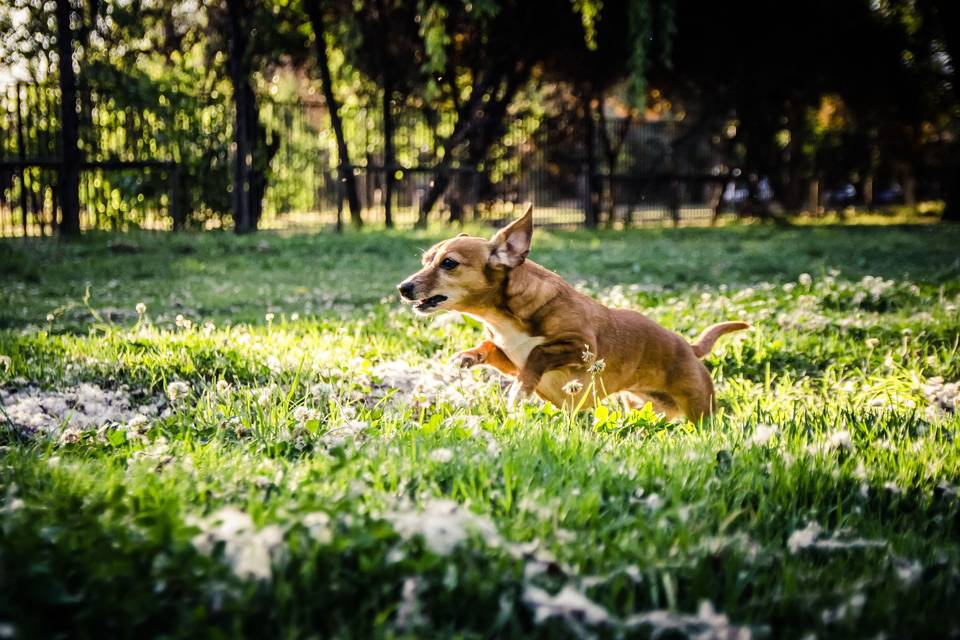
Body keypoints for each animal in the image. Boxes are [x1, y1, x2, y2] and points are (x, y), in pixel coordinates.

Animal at [398, 205, 752, 422]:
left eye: (448, 263)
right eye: (425, 261)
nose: (403, 287)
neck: (505, 317)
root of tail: (688, 347)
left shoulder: (583, 349)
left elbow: (539, 353)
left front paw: (520, 390)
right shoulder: (510, 358)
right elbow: (492, 348)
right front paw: (469, 356)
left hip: (700, 409)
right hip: (644, 404)